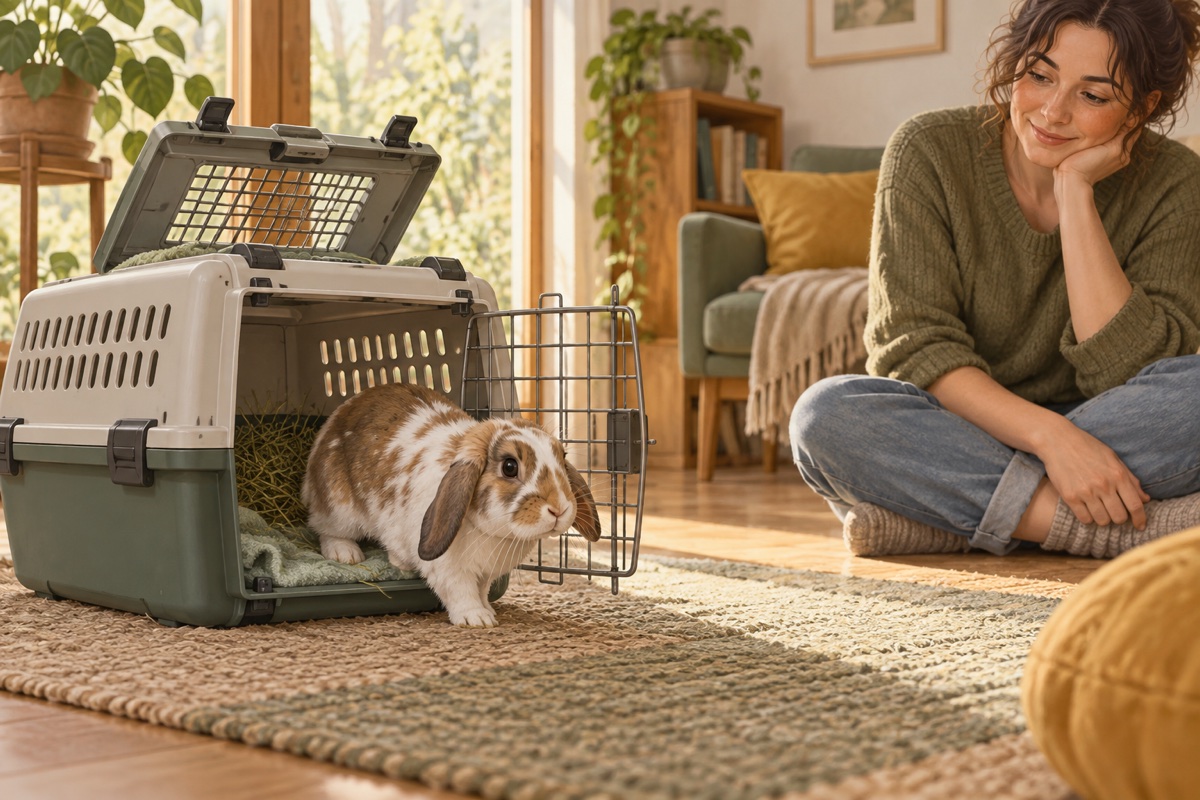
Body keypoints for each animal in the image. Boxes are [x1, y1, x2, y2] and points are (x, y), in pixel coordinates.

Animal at [301, 382, 602, 626]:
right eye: (509, 467)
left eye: (563, 457)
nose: (559, 509)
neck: (492, 533)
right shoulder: (449, 569)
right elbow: (461, 592)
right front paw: (477, 619)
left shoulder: (485, 574)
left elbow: (481, 591)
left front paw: (488, 611)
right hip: (340, 508)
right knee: (325, 529)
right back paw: (346, 554)